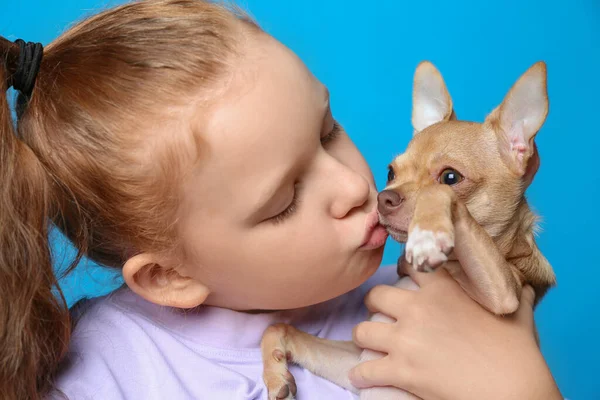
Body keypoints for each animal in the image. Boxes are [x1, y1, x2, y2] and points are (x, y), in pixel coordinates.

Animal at [260, 61, 556, 398]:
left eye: (451, 177)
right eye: (390, 172)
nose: (383, 198)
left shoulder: (504, 294)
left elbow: (437, 195)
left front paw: (427, 236)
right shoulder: (359, 367)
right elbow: (279, 327)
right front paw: (276, 375)